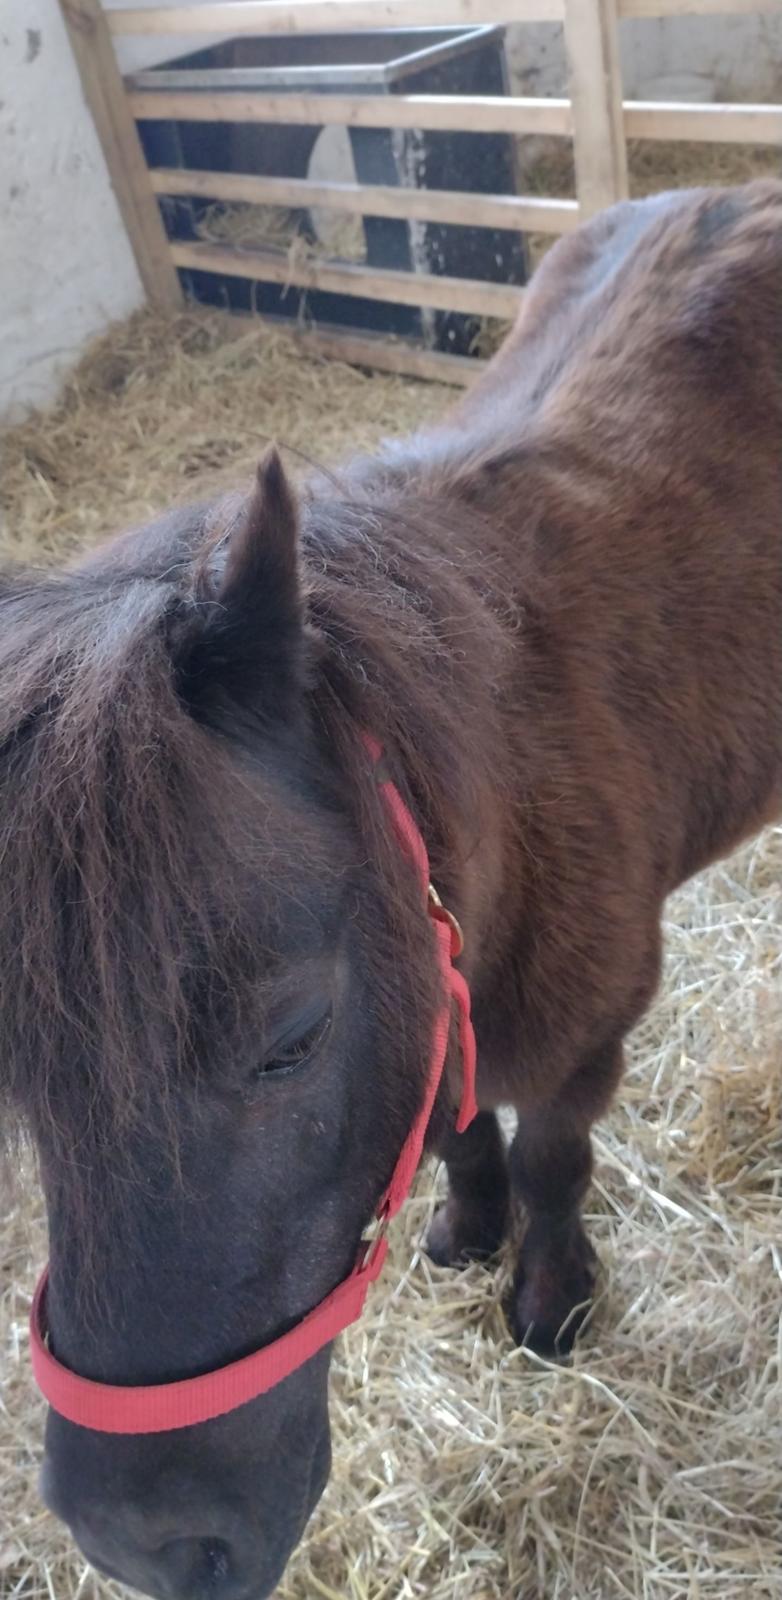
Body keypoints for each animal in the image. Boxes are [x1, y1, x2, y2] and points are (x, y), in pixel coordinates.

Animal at [1, 181, 780, 1600]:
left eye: (290, 1038)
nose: (148, 1543)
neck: (512, 759)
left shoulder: (585, 1045)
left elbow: (550, 1162)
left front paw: (546, 1298)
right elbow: (467, 1136)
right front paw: (465, 1229)